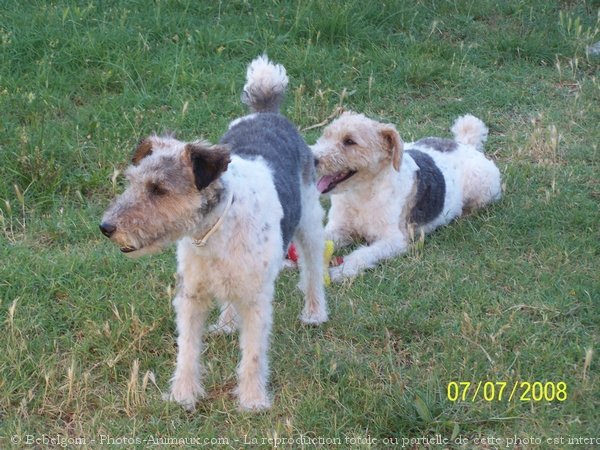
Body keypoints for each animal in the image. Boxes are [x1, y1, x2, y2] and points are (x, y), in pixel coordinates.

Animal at [100, 56, 326, 412]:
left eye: (159, 189)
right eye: (132, 181)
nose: (106, 227)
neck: (214, 229)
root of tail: (268, 113)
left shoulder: (257, 300)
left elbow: (253, 356)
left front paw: (252, 401)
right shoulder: (191, 295)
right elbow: (187, 350)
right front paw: (183, 395)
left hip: (311, 223)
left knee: (313, 269)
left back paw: (315, 314)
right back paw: (227, 323)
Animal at [312, 111, 504, 282]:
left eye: (349, 141)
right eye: (326, 134)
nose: (312, 159)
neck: (362, 194)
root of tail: (465, 145)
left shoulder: (394, 240)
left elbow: (363, 254)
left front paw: (341, 271)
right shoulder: (339, 227)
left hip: (481, 185)